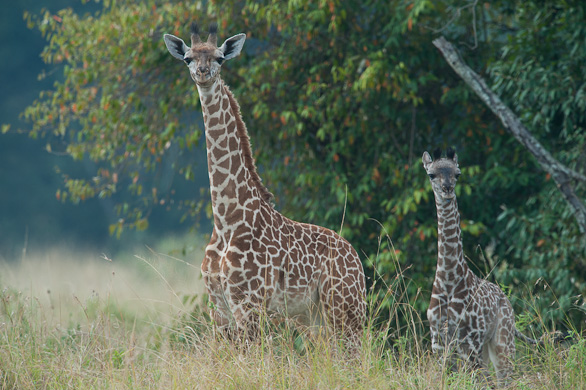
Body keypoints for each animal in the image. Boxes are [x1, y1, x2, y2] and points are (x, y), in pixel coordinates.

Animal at [163, 22, 364, 344]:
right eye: (188, 58)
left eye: (219, 58)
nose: (203, 74)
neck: (226, 218)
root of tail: (357, 260)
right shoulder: (218, 308)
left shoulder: (249, 304)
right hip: (313, 317)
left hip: (345, 309)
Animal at [420, 148, 540, 386]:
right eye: (431, 174)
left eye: (457, 174)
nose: (447, 189)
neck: (448, 278)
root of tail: (506, 300)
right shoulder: (438, 342)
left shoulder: (469, 341)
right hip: (484, 348)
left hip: (502, 341)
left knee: (504, 379)